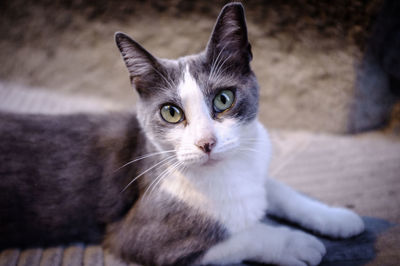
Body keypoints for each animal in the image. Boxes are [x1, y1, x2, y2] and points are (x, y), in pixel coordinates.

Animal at [0, 2, 362, 266]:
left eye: (223, 99)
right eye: (171, 113)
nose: (207, 143)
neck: (230, 172)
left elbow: (277, 188)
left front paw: (337, 217)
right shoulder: (141, 232)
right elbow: (236, 236)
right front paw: (294, 242)